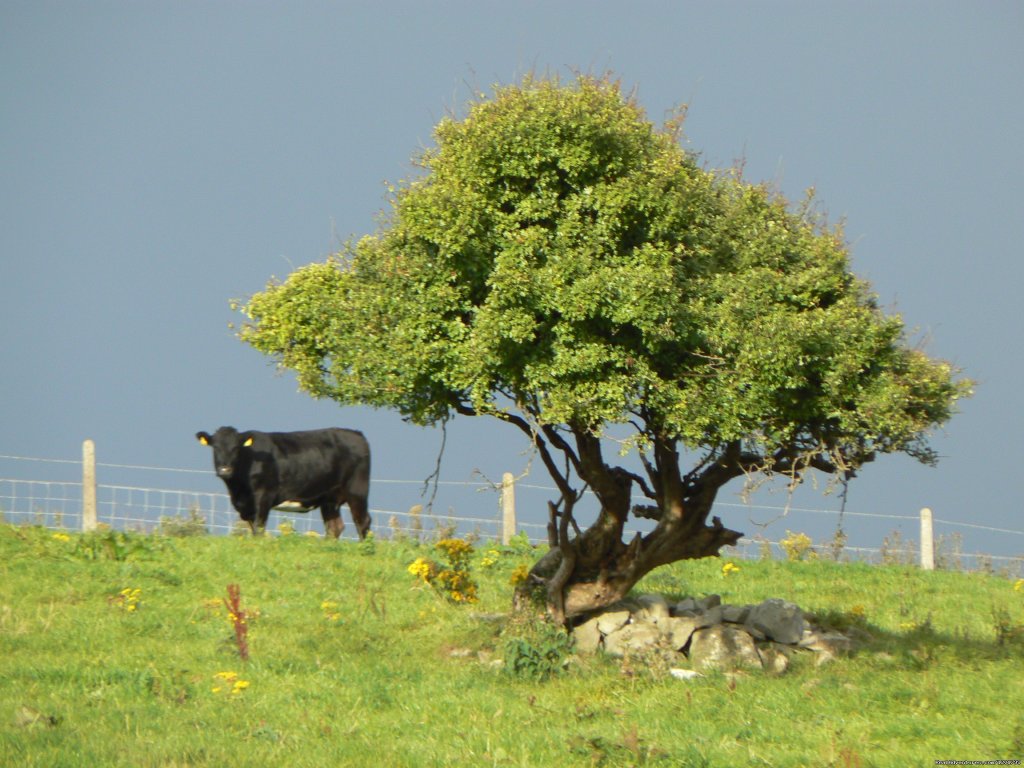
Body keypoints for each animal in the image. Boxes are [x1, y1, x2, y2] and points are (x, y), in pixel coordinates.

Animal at [195, 428, 372, 540]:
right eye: (215, 447)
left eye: (236, 448)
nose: (225, 469)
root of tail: (356, 434)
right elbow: (253, 527)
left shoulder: (264, 496)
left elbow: (259, 527)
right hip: (329, 498)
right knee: (334, 527)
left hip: (357, 491)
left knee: (362, 521)